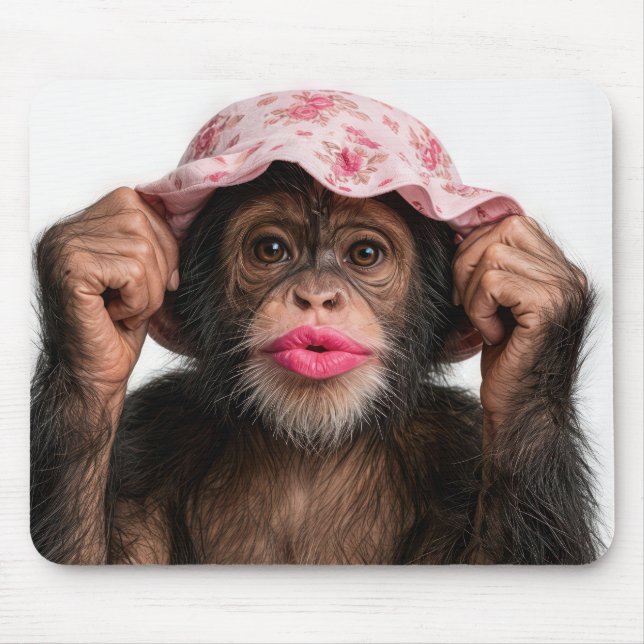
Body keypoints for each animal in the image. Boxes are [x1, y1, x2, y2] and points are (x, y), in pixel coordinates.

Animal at [31, 160, 603, 565]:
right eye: (270, 249)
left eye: (365, 255)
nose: (317, 296)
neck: (308, 451)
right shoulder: (146, 445)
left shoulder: (458, 442)